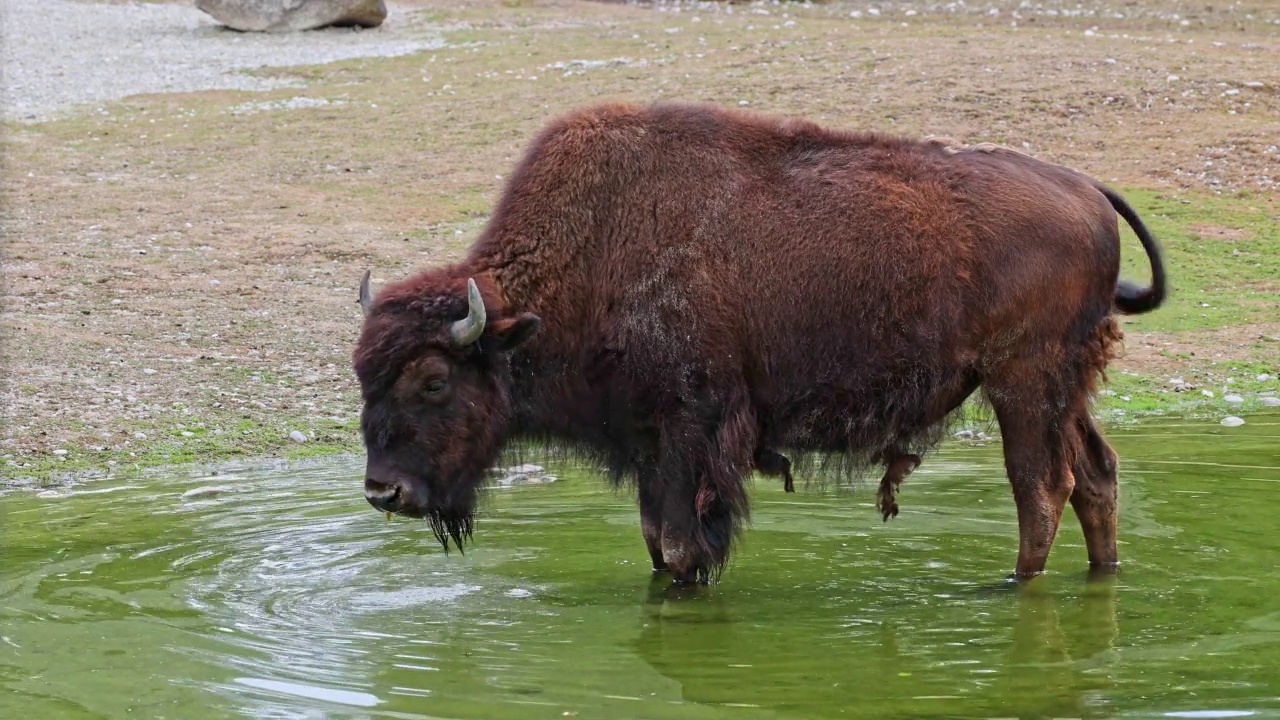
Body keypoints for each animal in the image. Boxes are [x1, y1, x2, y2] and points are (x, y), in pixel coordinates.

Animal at [355, 99, 1167, 584]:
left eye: (434, 380)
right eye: (363, 376)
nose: (382, 491)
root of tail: (1085, 188)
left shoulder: (690, 434)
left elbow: (681, 544)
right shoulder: (650, 445)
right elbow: (656, 542)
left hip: (1021, 381)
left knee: (1042, 486)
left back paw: (1012, 589)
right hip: (1065, 385)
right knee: (1096, 476)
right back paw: (1101, 577)